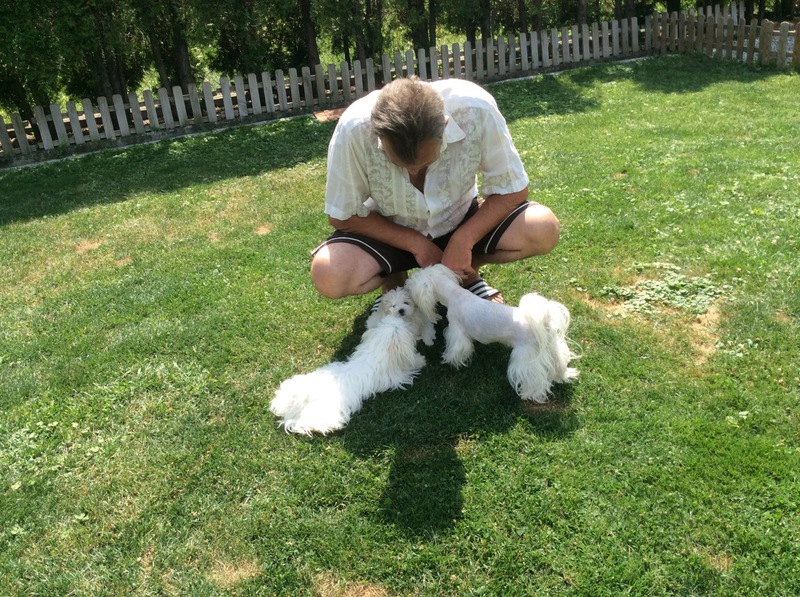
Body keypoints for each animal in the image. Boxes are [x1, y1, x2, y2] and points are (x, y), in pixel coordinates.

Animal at [406, 264, 578, 403]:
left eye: (413, 281)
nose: (406, 283)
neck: (454, 294)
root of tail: (542, 321)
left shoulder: (456, 332)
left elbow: (456, 349)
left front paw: (449, 360)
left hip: (526, 358)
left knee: (536, 381)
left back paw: (530, 394)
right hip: (553, 348)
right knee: (558, 364)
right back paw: (563, 375)